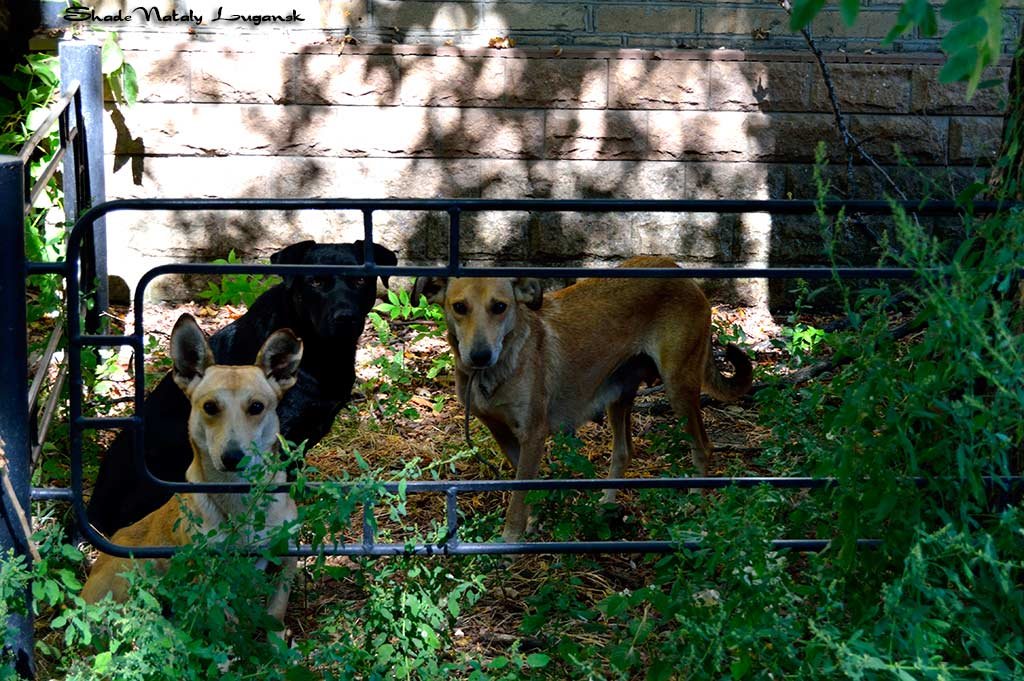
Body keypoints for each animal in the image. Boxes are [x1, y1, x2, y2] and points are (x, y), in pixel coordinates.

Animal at [81, 313, 301, 630]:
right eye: (210, 407)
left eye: (257, 407)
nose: (233, 457)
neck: (239, 501)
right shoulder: (209, 571)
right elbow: (223, 617)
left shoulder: (288, 550)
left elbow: (277, 606)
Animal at [415, 254, 753, 540]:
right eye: (459, 307)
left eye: (499, 307)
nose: (480, 356)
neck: (494, 374)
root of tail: (679, 271)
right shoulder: (503, 433)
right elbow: (525, 484)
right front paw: (533, 520)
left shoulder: (533, 433)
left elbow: (519, 496)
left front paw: (510, 541)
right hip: (619, 394)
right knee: (624, 451)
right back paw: (605, 505)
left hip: (679, 387)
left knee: (703, 447)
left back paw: (693, 504)